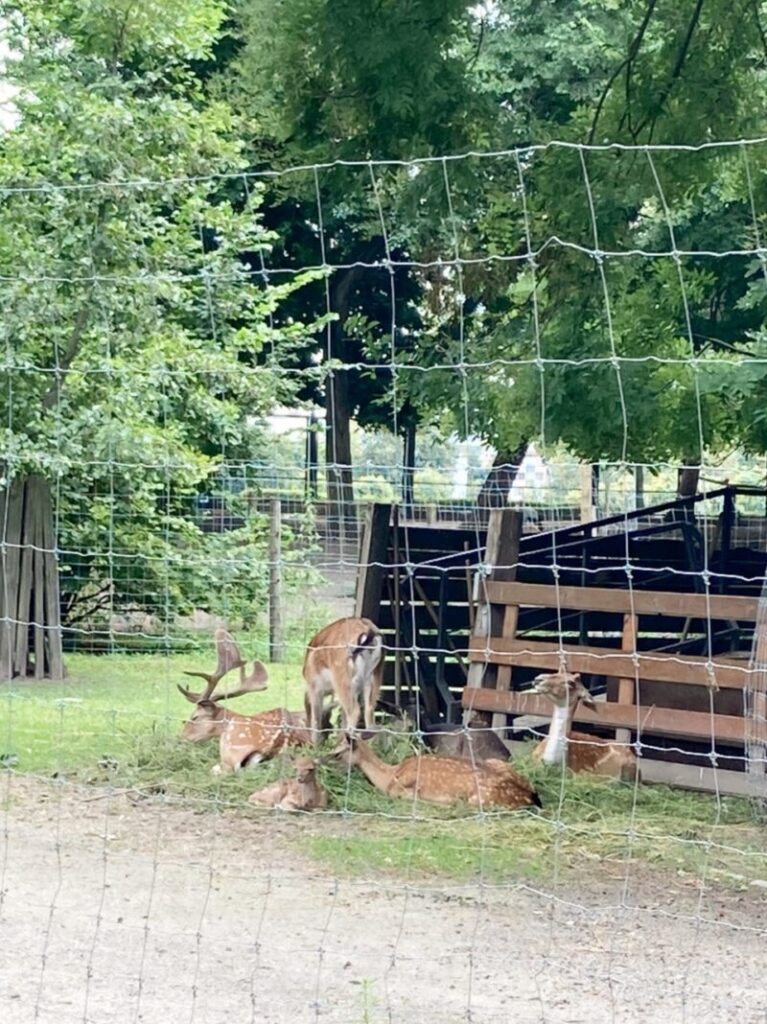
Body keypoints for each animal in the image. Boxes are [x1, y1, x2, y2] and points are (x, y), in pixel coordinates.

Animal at [301, 614, 380, 745]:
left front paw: (316, 745)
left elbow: (316, 716)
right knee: (369, 712)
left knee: (355, 711)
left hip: (343, 678)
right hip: (373, 677)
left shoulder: (315, 687)